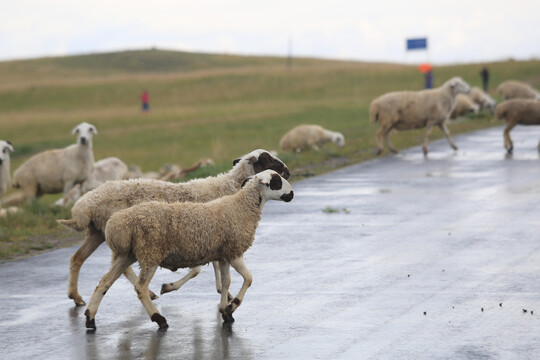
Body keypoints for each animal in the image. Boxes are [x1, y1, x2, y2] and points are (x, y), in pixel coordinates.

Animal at [58, 149, 292, 306]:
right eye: (268, 159)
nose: (288, 172)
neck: (229, 188)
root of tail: (85, 204)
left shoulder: (212, 236)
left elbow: (215, 266)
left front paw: (223, 292)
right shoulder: (202, 236)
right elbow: (199, 269)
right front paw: (171, 287)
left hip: (97, 233)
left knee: (78, 258)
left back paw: (76, 296)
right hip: (118, 236)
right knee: (120, 267)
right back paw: (149, 293)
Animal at [85, 169, 296, 330]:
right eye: (276, 181)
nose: (292, 194)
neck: (241, 208)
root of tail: (118, 224)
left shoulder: (223, 255)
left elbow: (226, 283)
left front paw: (225, 312)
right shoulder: (234, 252)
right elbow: (249, 279)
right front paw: (231, 307)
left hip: (127, 255)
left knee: (104, 283)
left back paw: (90, 318)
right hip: (150, 253)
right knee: (140, 288)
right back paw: (159, 319)